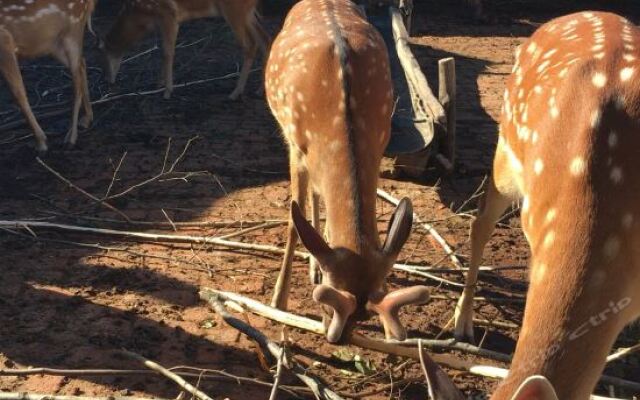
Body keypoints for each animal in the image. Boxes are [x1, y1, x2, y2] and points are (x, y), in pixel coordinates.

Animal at [0, 0, 95, 153]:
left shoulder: (4, 42)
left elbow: (18, 93)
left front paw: (41, 142)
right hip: (53, 43)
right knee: (82, 63)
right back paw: (86, 119)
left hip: (72, 30)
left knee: (77, 81)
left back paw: (71, 138)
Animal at [98, 0, 270, 99]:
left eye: (102, 59)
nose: (107, 81)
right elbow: (163, 50)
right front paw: (159, 83)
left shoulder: (169, 14)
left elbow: (167, 52)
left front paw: (167, 91)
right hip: (249, 13)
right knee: (264, 40)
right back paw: (260, 90)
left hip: (235, 10)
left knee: (250, 45)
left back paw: (235, 92)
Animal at [264, 0, 430, 344]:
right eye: (331, 301)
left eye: (368, 309)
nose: (336, 336)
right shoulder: (296, 147)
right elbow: (293, 221)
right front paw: (278, 300)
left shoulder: (379, 144)